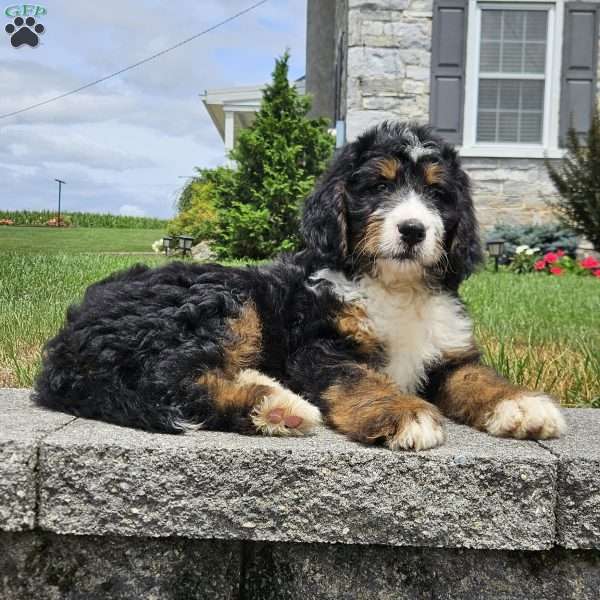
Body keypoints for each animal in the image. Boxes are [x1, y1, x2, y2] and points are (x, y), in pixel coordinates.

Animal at [34, 123, 568, 450]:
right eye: (379, 186)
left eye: (438, 194)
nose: (414, 230)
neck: (394, 287)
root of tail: (65, 347)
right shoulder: (320, 346)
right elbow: (360, 378)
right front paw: (403, 413)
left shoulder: (448, 353)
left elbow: (479, 378)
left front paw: (522, 406)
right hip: (224, 300)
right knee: (167, 378)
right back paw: (277, 405)